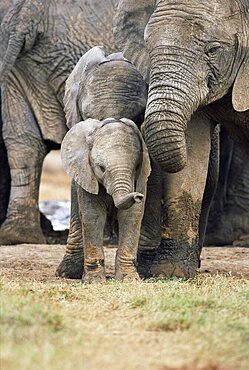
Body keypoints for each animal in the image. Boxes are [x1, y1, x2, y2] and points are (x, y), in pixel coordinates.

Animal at [57, 46, 150, 284]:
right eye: (100, 167)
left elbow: (132, 214)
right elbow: (92, 213)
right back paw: (68, 272)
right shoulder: (84, 166)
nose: (137, 195)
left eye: (139, 115)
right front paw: (93, 281)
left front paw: (129, 280)